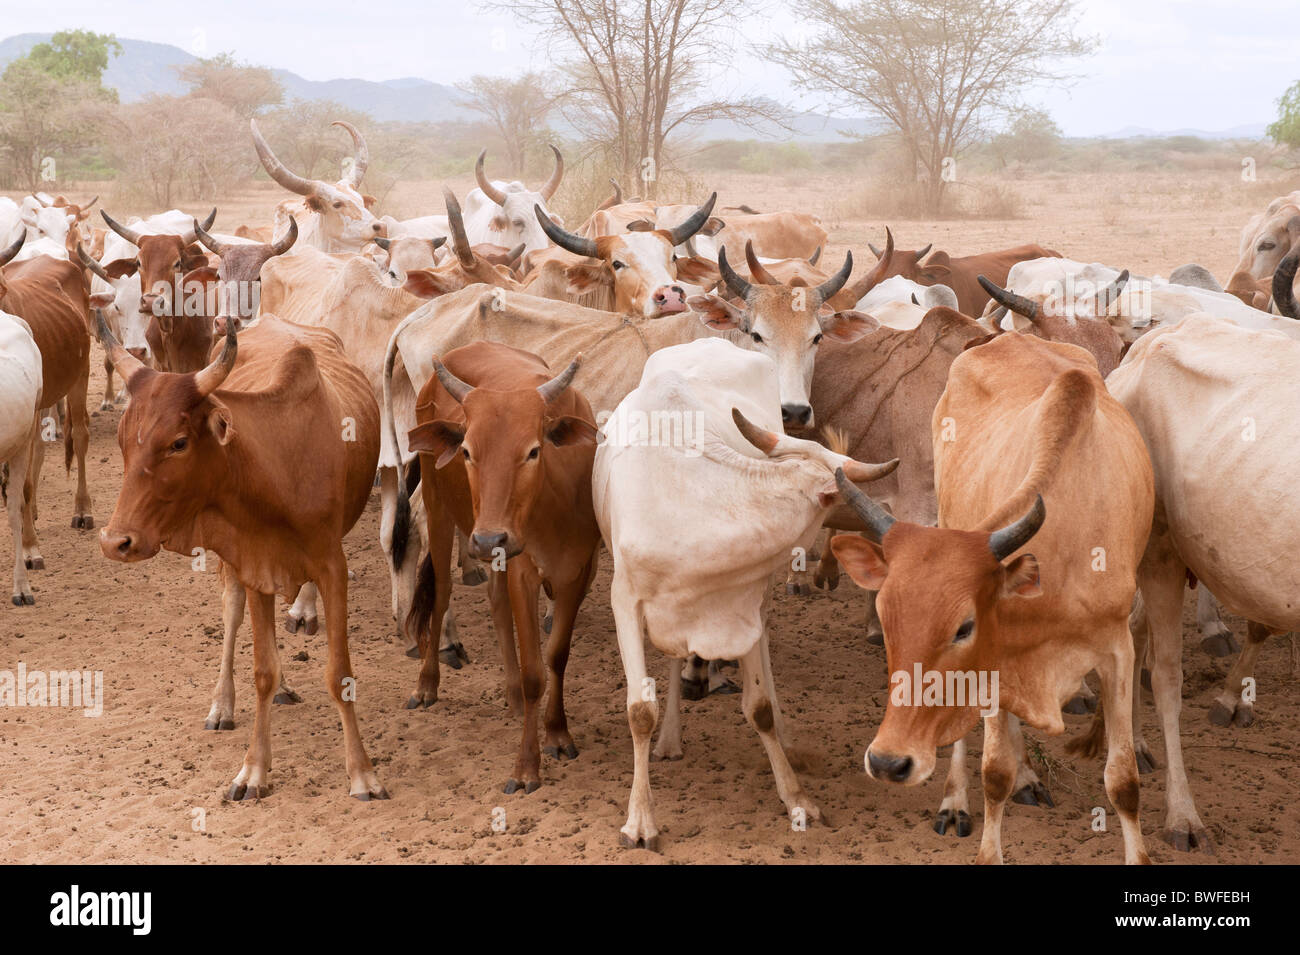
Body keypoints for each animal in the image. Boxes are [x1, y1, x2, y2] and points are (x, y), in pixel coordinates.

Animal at [96, 314, 384, 800]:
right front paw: (253, 770)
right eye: (121, 440)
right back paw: (222, 705)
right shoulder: (253, 565)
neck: (277, 465)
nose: (116, 542)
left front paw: (362, 773)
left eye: (178, 443)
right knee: (231, 615)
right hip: (234, 567)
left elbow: (338, 673)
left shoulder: (333, 568)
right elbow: (262, 671)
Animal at [403, 340, 600, 795]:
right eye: (468, 451)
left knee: (495, 599)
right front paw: (527, 767)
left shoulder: (578, 574)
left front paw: (557, 733)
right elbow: (534, 674)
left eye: (532, 450)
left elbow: (557, 656)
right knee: (441, 594)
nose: (489, 539)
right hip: (441, 510)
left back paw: (510, 698)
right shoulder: (524, 574)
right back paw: (427, 683)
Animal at [595, 337, 899, 852]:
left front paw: (797, 797)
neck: (693, 504)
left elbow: (758, 709)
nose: (888, 520)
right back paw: (670, 739)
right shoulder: (625, 601)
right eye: (847, 500)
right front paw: (640, 820)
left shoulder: (745, 604)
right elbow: (639, 710)